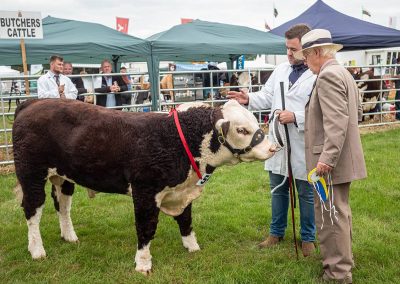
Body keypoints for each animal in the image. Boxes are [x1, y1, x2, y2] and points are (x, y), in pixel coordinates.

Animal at [12, 98, 276, 274]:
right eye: (242, 129)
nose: (273, 147)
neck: (176, 139)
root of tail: (34, 102)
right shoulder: (145, 192)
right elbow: (146, 228)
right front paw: (143, 262)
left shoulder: (181, 191)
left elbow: (186, 221)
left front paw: (193, 248)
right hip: (31, 174)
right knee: (32, 210)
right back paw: (37, 250)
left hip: (64, 177)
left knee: (63, 206)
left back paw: (69, 236)